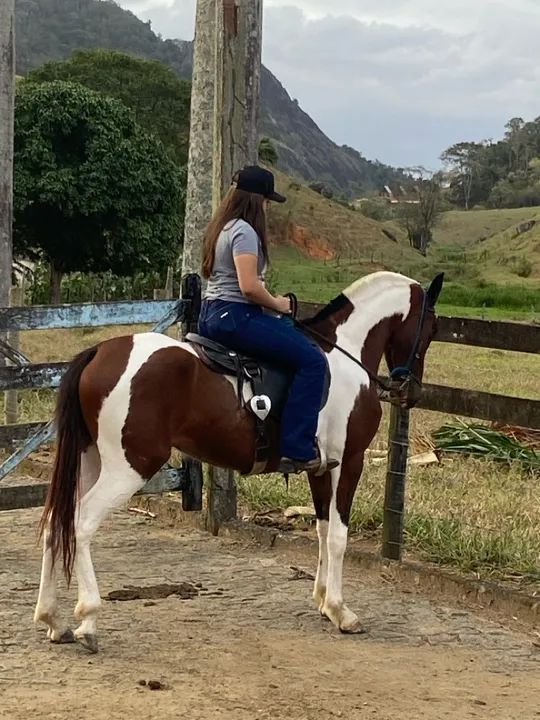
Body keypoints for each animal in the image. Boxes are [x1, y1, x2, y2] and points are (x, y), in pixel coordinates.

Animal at [34, 270, 444, 653]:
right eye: (431, 328)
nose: (411, 392)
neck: (344, 355)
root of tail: (100, 353)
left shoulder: (320, 468)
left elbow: (322, 530)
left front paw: (323, 600)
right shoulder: (349, 462)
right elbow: (339, 537)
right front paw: (341, 611)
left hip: (91, 463)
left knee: (57, 521)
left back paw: (53, 619)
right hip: (128, 467)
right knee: (81, 523)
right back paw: (88, 619)